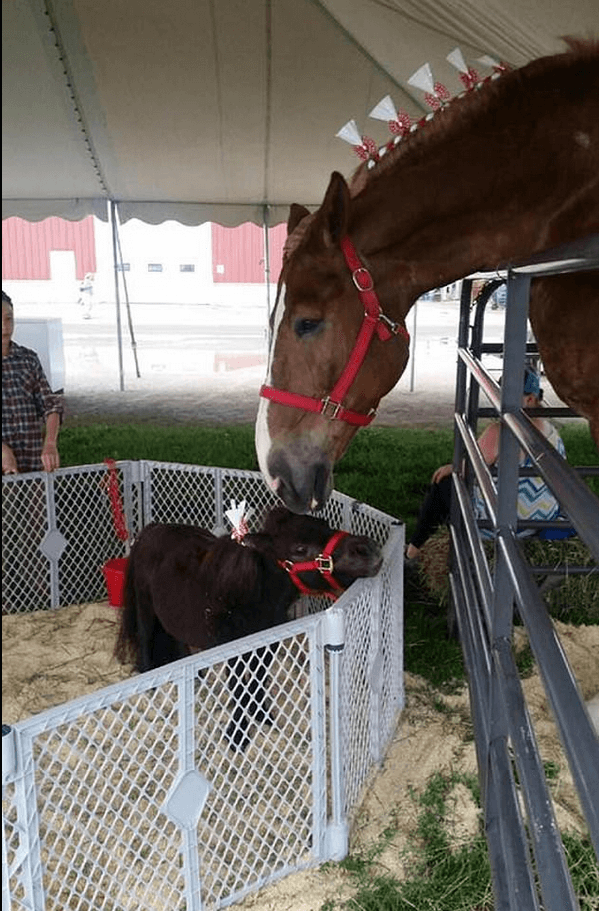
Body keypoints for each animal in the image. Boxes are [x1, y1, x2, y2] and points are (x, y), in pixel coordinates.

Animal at [115, 506, 382, 748]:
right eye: (299, 549)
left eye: (326, 524)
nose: (367, 550)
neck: (252, 594)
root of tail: (152, 528)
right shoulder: (231, 651)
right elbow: (239, 686)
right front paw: (237, 736)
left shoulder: (267, 645)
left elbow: (257, 678)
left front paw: (263, 717)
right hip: (144, 603)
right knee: (145, 636)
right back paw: (150, 686)